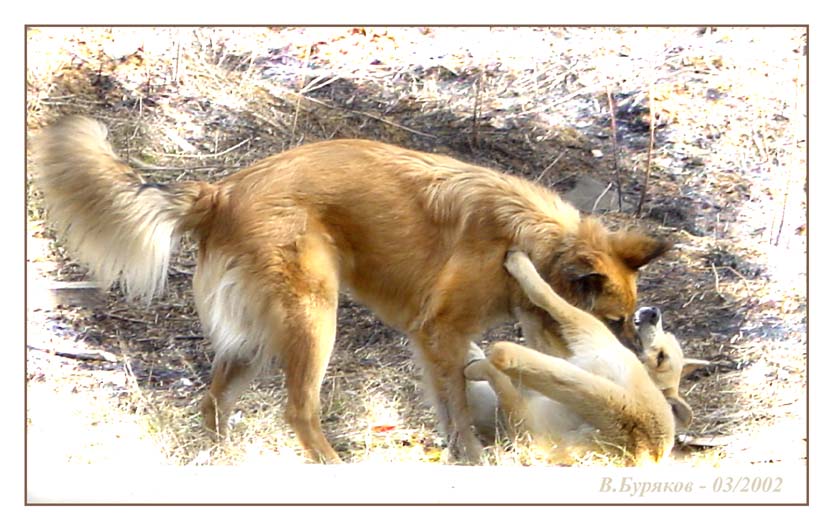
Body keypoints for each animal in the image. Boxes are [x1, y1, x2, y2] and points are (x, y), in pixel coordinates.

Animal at [34, 114, 668, 458]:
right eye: (614, 322)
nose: (633, 370)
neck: (534, 241)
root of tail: (221, 191)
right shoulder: (440, 332)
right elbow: (460, 408)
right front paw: (473, 457)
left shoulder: (445, 340)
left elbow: (457, 399)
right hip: (314, 317)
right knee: (298, 410)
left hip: (255, 337)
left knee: (213, 403)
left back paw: (224, 461)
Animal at [464, 250, 704, 460]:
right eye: (668, 337)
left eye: (661, 357)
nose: (654, 313)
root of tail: (633, 425)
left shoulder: (584, 328)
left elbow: (546, 296)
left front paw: (518, 263)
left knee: (500, 364)